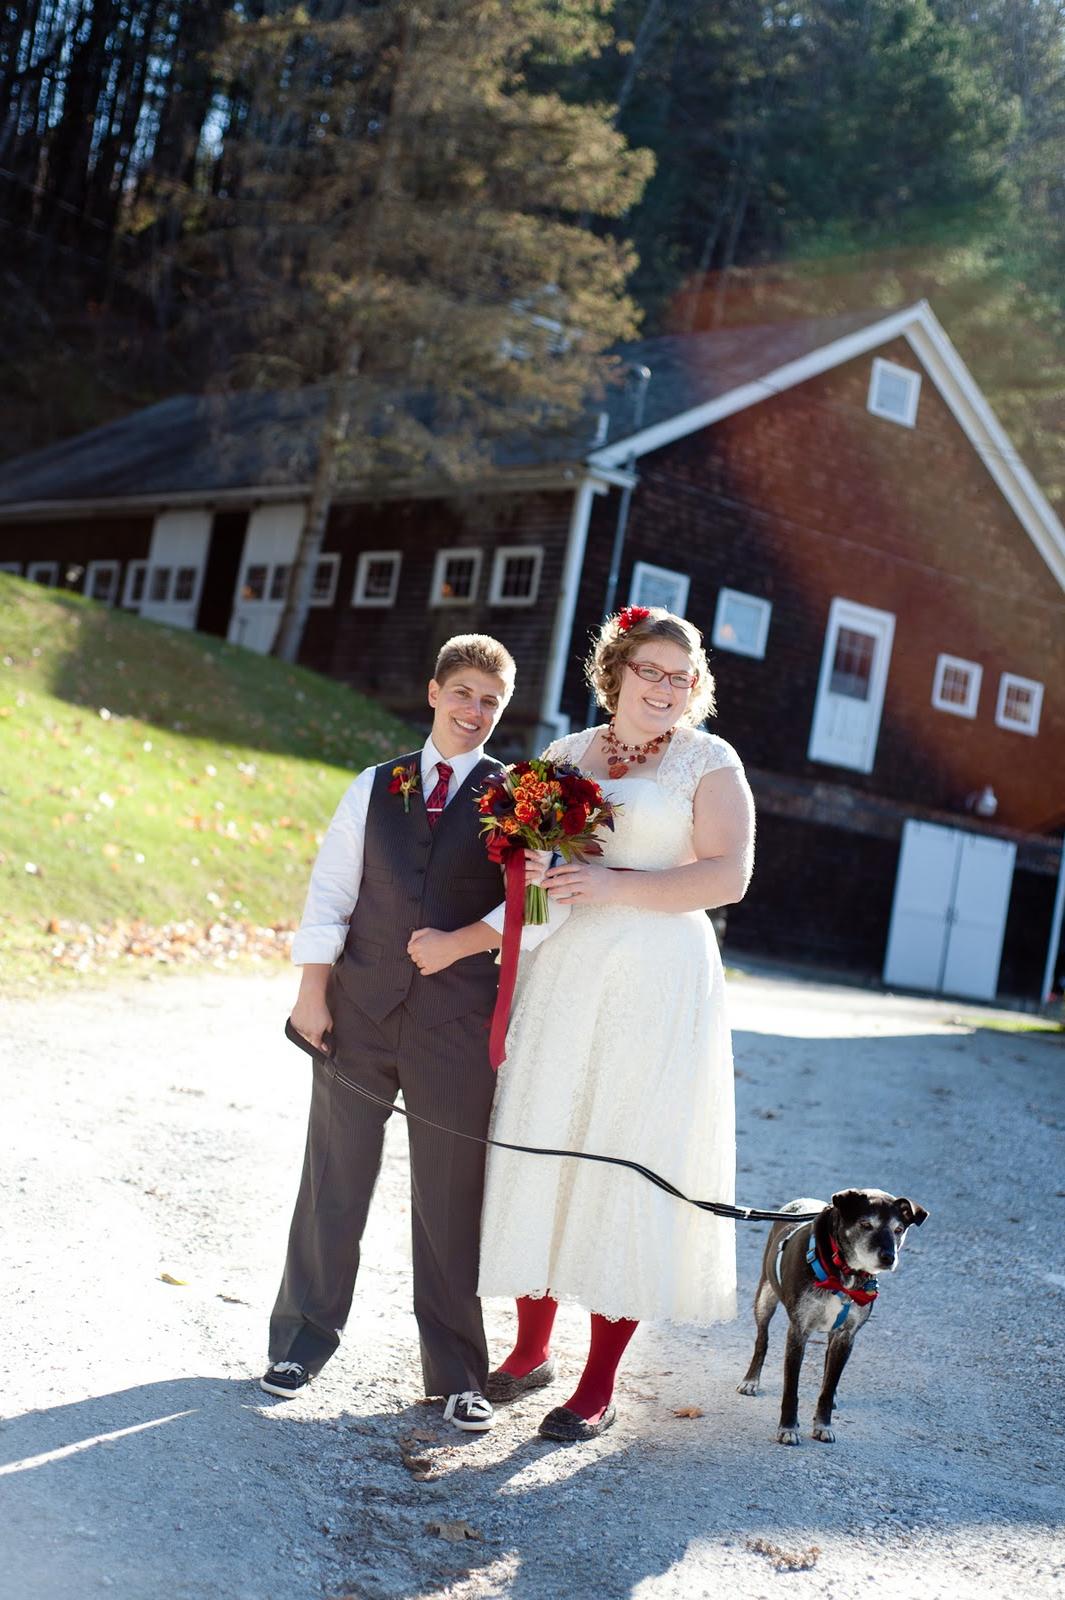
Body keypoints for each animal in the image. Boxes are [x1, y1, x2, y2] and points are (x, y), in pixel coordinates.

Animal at [735, 1184, 927, 1446]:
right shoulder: (798, 1332)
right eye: (865, 1224)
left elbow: (827, 1386)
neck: (845, 1273)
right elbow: (791, 1388)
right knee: (761, 1340)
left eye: (898, 1230)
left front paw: (823, 1424)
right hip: (765, 1297)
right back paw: (751, 1380)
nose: (889, 1257)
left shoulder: (846, 1335)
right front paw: (788, 1428)